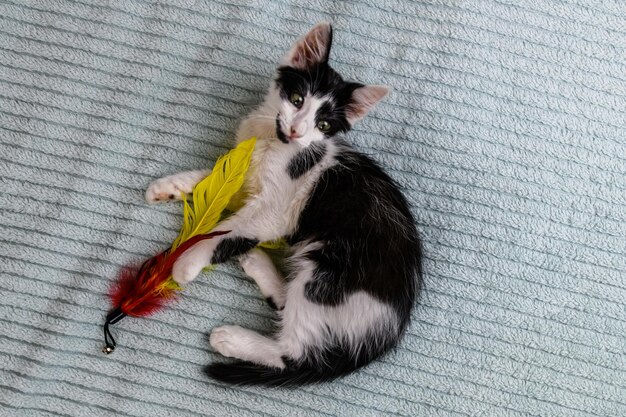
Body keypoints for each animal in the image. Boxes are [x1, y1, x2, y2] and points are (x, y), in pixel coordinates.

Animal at [144, 22, 422, 386]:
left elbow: (227, 228)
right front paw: (167, 187)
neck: (272, 142)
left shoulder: (278, 209)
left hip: (326, 278)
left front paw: (187, 261)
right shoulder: (247, 177)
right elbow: (213, 182)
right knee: (285, 306)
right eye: (297, 99)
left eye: (324, 124)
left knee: (293, 354)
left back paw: (232, 338)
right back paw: (258, 264)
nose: (295, 130)